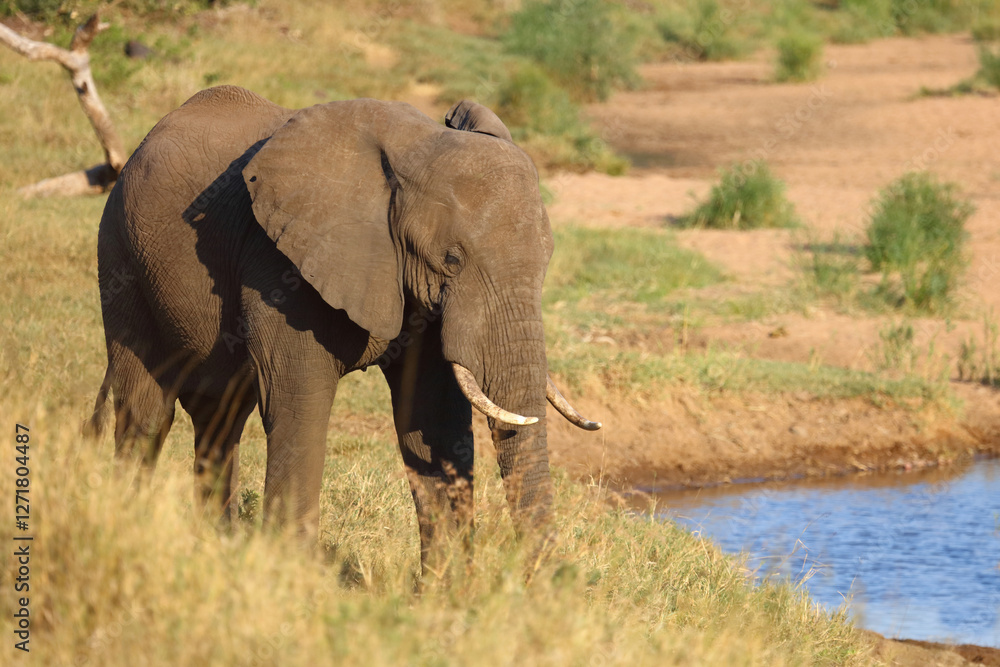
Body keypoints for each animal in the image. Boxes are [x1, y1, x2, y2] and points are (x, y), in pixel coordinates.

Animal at [85, 85, 600, 569]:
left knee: (220, 419)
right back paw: (130, 526)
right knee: (147, 413)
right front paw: (289, 576)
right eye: (452, 261)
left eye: (547, 260)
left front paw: (445, 593)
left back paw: (216, 547)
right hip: (121, 254)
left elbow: (432, 419)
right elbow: (299, 405)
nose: (552, 580)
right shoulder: (278, 266)